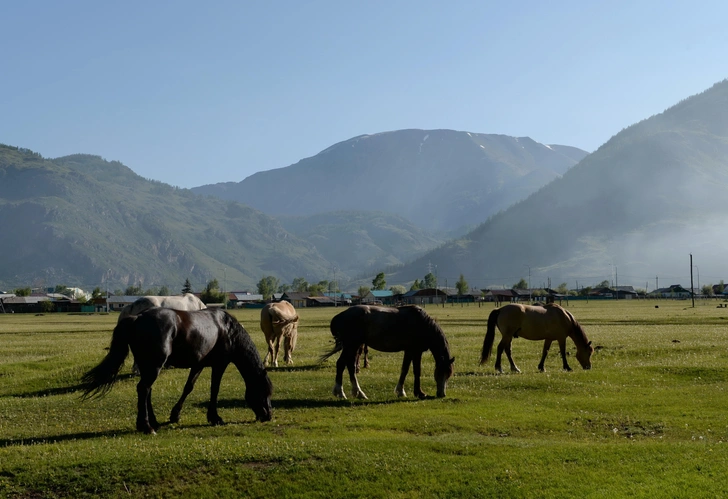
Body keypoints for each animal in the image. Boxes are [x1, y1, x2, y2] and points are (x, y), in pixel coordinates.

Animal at [80, 308, 272, 434]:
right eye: (264, 391)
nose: (268, 416)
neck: (226, 328)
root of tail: (137, 317)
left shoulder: (198, 365)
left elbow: (188, 387)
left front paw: (175, 415)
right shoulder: (219, 364)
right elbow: (214, 389)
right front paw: (215, 417)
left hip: (148, 366)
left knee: (147, 390)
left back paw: (154, 422)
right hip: (154, 366)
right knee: (143, 388)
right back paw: (146, 426)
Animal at [320, 304, 452, 402]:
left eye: (448, 375)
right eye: (442, 373)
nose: (442, 394)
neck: (422, 324)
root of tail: (340, 316)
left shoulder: (409, 351)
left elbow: (405, 369)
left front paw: (401, 391)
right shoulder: (415, 351)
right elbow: (416, 371)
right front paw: (419, 393)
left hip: (353, 347)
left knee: (350, 366)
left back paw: (357, 393)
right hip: (351, 346)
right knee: (342, 364)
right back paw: (342, 393)